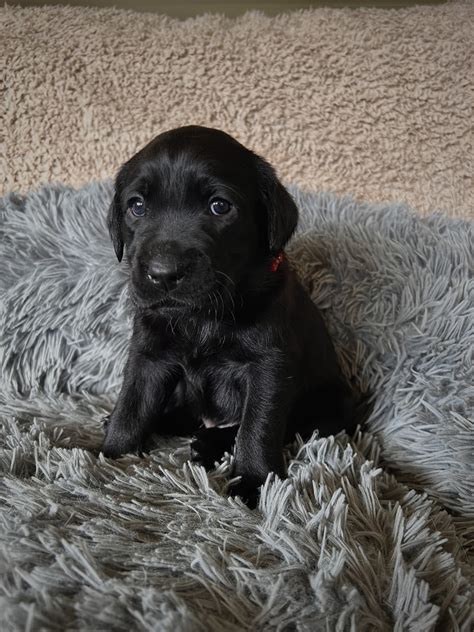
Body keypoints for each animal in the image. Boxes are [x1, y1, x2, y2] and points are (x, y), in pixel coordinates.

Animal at [103, 126, 356, 506]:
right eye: (137, 206)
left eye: (219, 206)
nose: (163, 273)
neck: (203, 317)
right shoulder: (148, 354)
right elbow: (132, 405)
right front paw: (110, 455)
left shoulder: (269, 365)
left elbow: (257, 425)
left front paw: (253, 480)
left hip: (331, 404)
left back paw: (211, 442)